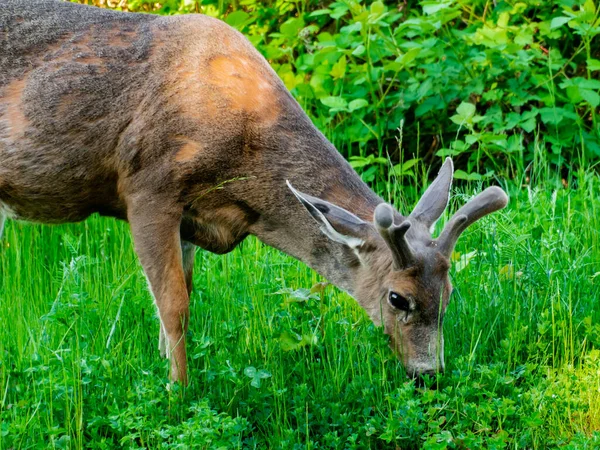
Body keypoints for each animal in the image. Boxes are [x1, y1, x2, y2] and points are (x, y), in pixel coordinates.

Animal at [0, 1, 506, 384]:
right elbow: (175, 307)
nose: (429, 374)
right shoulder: (147, 186)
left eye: (450, 291)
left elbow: (178, 303)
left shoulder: (190, 219)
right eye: (398, 298)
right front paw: (179, 393)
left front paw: (166, 372)